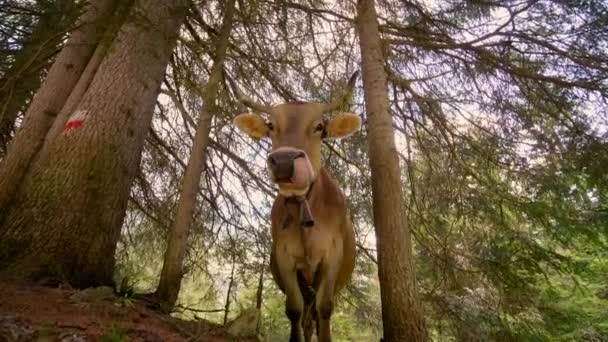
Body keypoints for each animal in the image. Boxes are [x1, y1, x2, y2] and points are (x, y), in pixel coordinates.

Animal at [230, 73, 358, 340]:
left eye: (319, 127)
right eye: (271, 126)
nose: (284, 162)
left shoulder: (333, 253)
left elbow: (325, 308)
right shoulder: (284, 255)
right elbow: (293, 309)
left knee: (315, 315)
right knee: (307, 316)